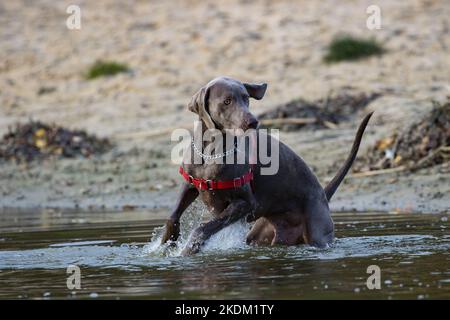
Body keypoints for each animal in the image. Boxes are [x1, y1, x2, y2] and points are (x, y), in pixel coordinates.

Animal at [162, 76, 372, 254]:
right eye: (227, 101)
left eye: (246, 98)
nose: (253, 121)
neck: (212, 151)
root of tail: (323, 195)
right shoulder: (191, 184)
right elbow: (173, 216)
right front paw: (167, 243)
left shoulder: (246, 203)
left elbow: (204, 228)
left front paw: (189, 249)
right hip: (260, 234)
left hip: (317, 233)